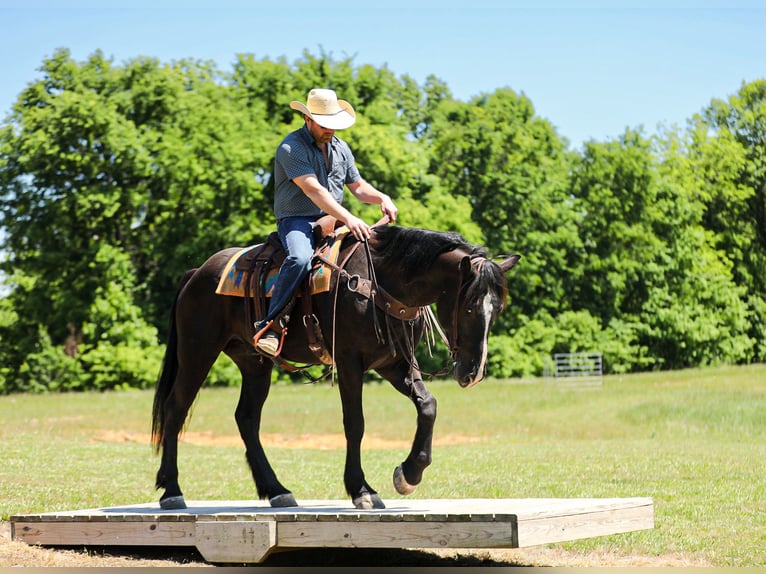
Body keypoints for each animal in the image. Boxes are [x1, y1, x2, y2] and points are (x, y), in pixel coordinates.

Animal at [151, 223, 520, 510]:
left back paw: (277, 490)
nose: (472, 373)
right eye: (469, 307)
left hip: (254, 363)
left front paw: (409, 474)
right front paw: (362, 490)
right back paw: (171, 491)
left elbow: (428, 405)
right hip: (198, 351)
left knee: (247, 418)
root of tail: (197, 273)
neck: (382, 282)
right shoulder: (350, 361)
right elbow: (355, 423)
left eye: (498, 308)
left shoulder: (396, 363)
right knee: (175, 408)